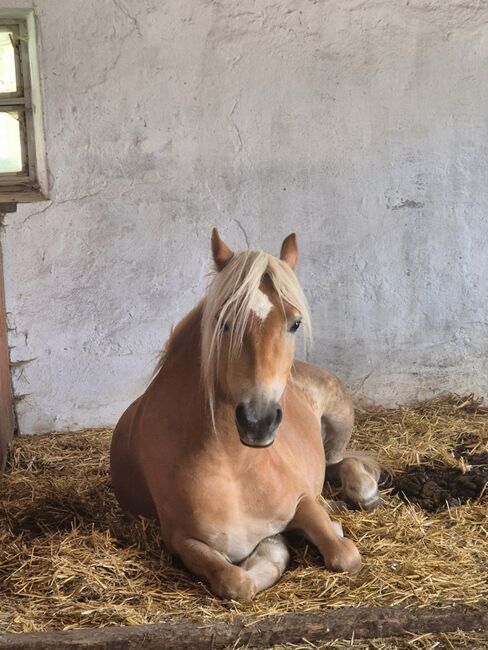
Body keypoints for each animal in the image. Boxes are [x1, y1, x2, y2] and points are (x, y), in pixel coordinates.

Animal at [110, 229, 381, 601]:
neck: (235, 466)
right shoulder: (181, 539)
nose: (258, 421)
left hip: (340, 420)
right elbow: (235, 582)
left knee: (339, 461)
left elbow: (344, 554)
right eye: (224, 322)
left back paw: (362, 492)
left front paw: (331, 524)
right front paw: (272, 550)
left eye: (295, 322)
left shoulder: (301, 500)